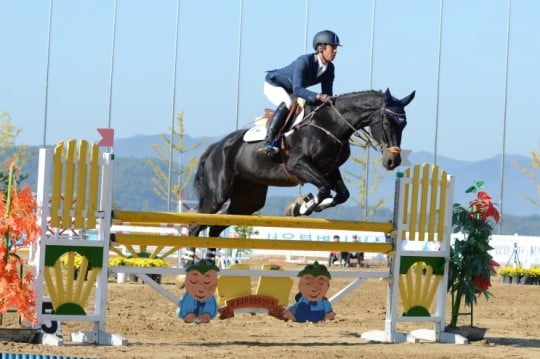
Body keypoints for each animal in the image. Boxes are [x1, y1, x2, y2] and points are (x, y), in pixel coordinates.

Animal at [186, 89, 414, 264]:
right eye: (387, 123)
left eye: (404, 124)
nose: (393, 161)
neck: (332, 124)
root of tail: (216, 146)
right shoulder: (298, 164)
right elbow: (324, 189)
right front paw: (299, 207)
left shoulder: (330, 170)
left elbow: (341, 194)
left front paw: (310, 205)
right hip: (218, 194)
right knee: (196, 225)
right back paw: (189, 264)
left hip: (248, 201)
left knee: (214, 229)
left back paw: (209, 266)